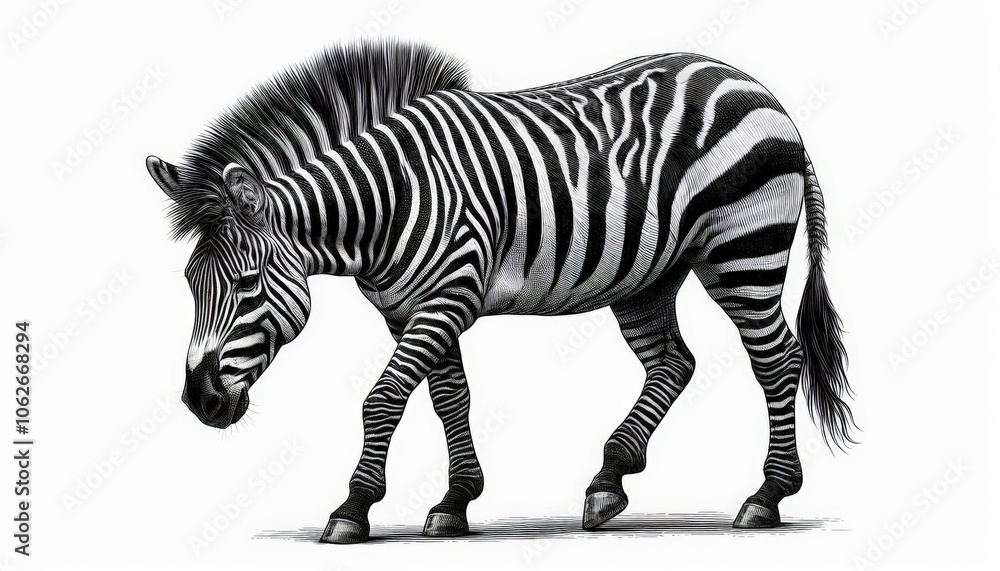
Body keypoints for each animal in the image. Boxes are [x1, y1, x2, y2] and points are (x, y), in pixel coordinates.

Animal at [146, 41, 855, 544]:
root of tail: (757, 87)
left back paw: (766, 497)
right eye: (187, 284)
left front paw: (352, 509)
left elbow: (383, 399)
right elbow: (449, 398)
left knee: (777, 359)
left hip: (744, 249)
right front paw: (455, 502)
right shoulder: (415, 307)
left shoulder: (448, 295)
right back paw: (608, 481)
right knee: (675, 363)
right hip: (647, 275)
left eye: (246, 283)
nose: (199, 400)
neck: (386, 200)